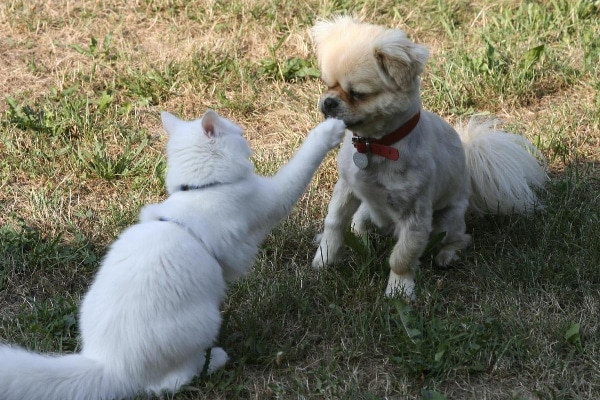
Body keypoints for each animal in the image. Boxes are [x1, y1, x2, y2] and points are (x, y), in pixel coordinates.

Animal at [0, 109, 344, 400]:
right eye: (241, 134)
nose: (249, 142)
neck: (201, 189)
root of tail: (109, 364)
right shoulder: (270, 200)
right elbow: (301, 164)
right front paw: (330, 130)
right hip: (206, 321)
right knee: (169, 383)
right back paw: (215, 359)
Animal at [312, 16, 548, 300]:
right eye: (327, 84)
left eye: (358, 94)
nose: (328, 102)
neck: (375, 145)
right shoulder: (347, 188)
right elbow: (334, 222)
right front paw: (325, 257)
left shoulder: (416, 217)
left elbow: (402, 256)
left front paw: (399, 290)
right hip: (369, 210)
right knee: (360, 223)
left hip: (446, 220)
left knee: (460, 238)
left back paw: (447, 255)